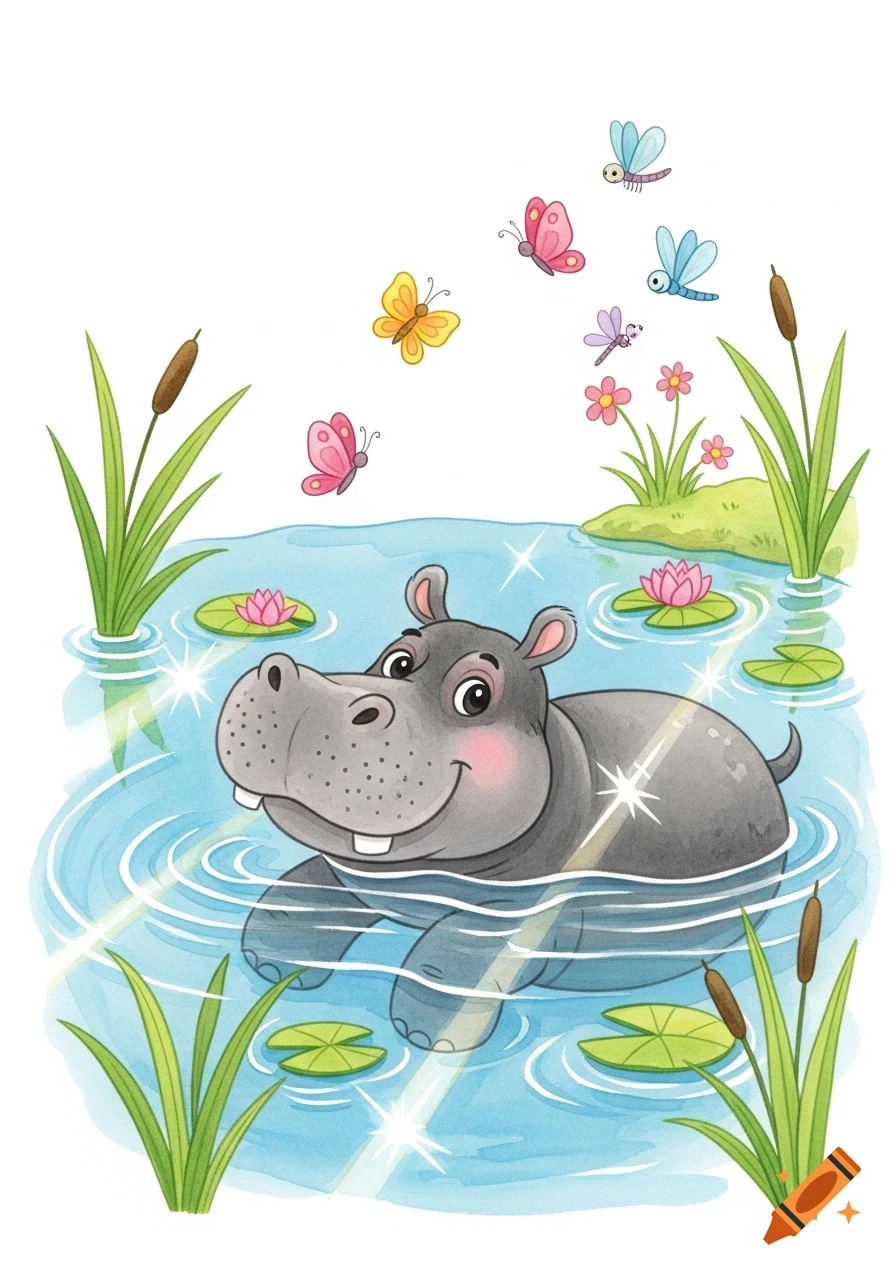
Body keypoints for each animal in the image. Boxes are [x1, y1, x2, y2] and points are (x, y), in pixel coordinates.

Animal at [217, 564, 801, 1052]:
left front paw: (430, 1034)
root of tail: (765, 760)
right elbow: (300, 893)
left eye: (476, 695)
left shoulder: (517, 915)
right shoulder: (353, 876)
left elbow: (450, 959)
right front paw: (270, 961)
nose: (303, 686)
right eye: (399, 660)